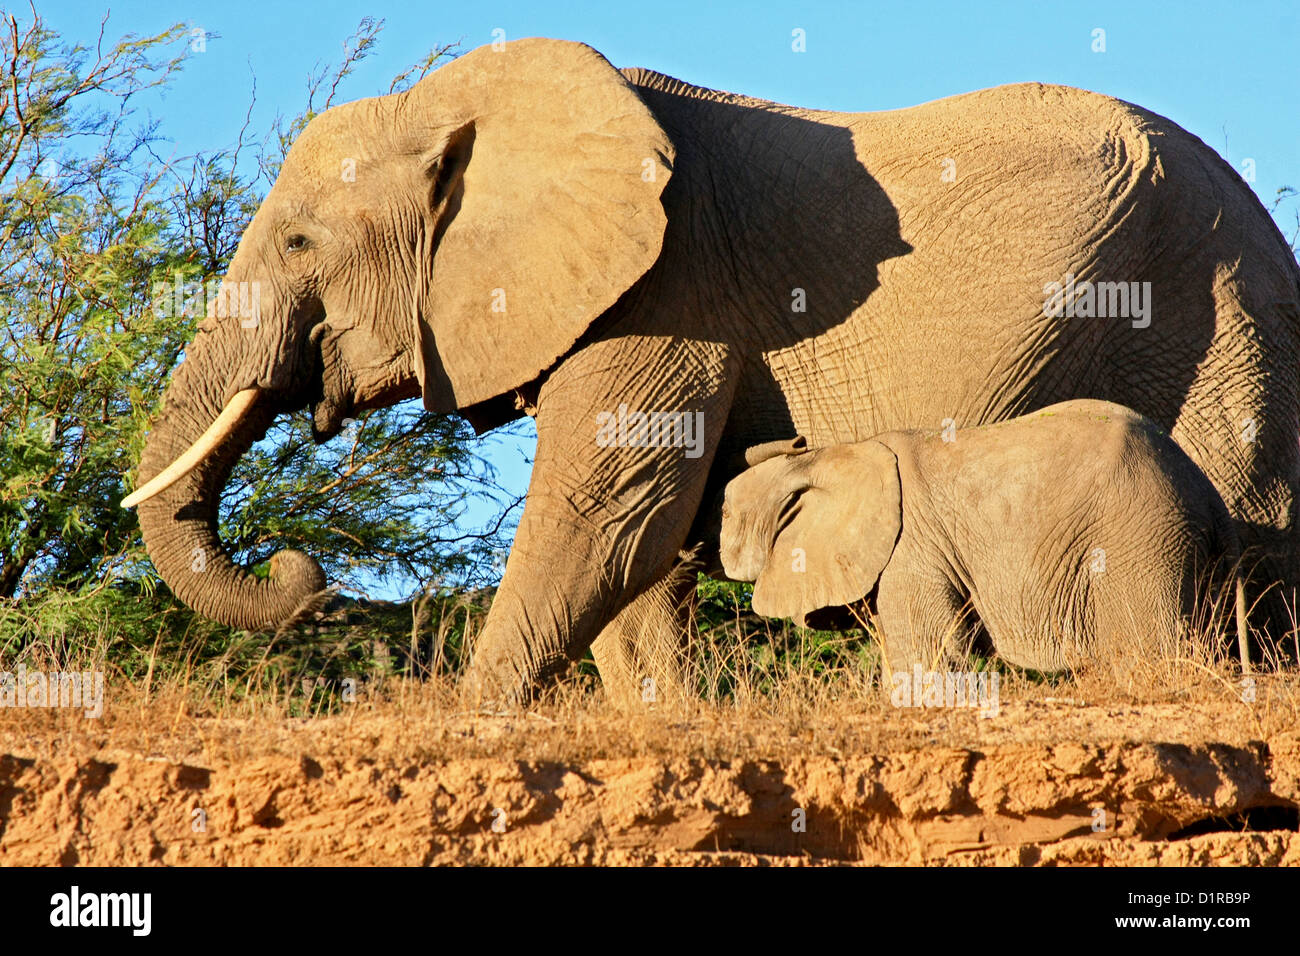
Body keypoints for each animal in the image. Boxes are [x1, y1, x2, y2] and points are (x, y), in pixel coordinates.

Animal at [722, 400, 1248, 676]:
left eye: (727, 510)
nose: (721, 546)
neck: (840, 453)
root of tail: (1211, 497)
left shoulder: (911, 551)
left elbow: (929, 655)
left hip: (1141, 541)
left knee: (1148, 650)